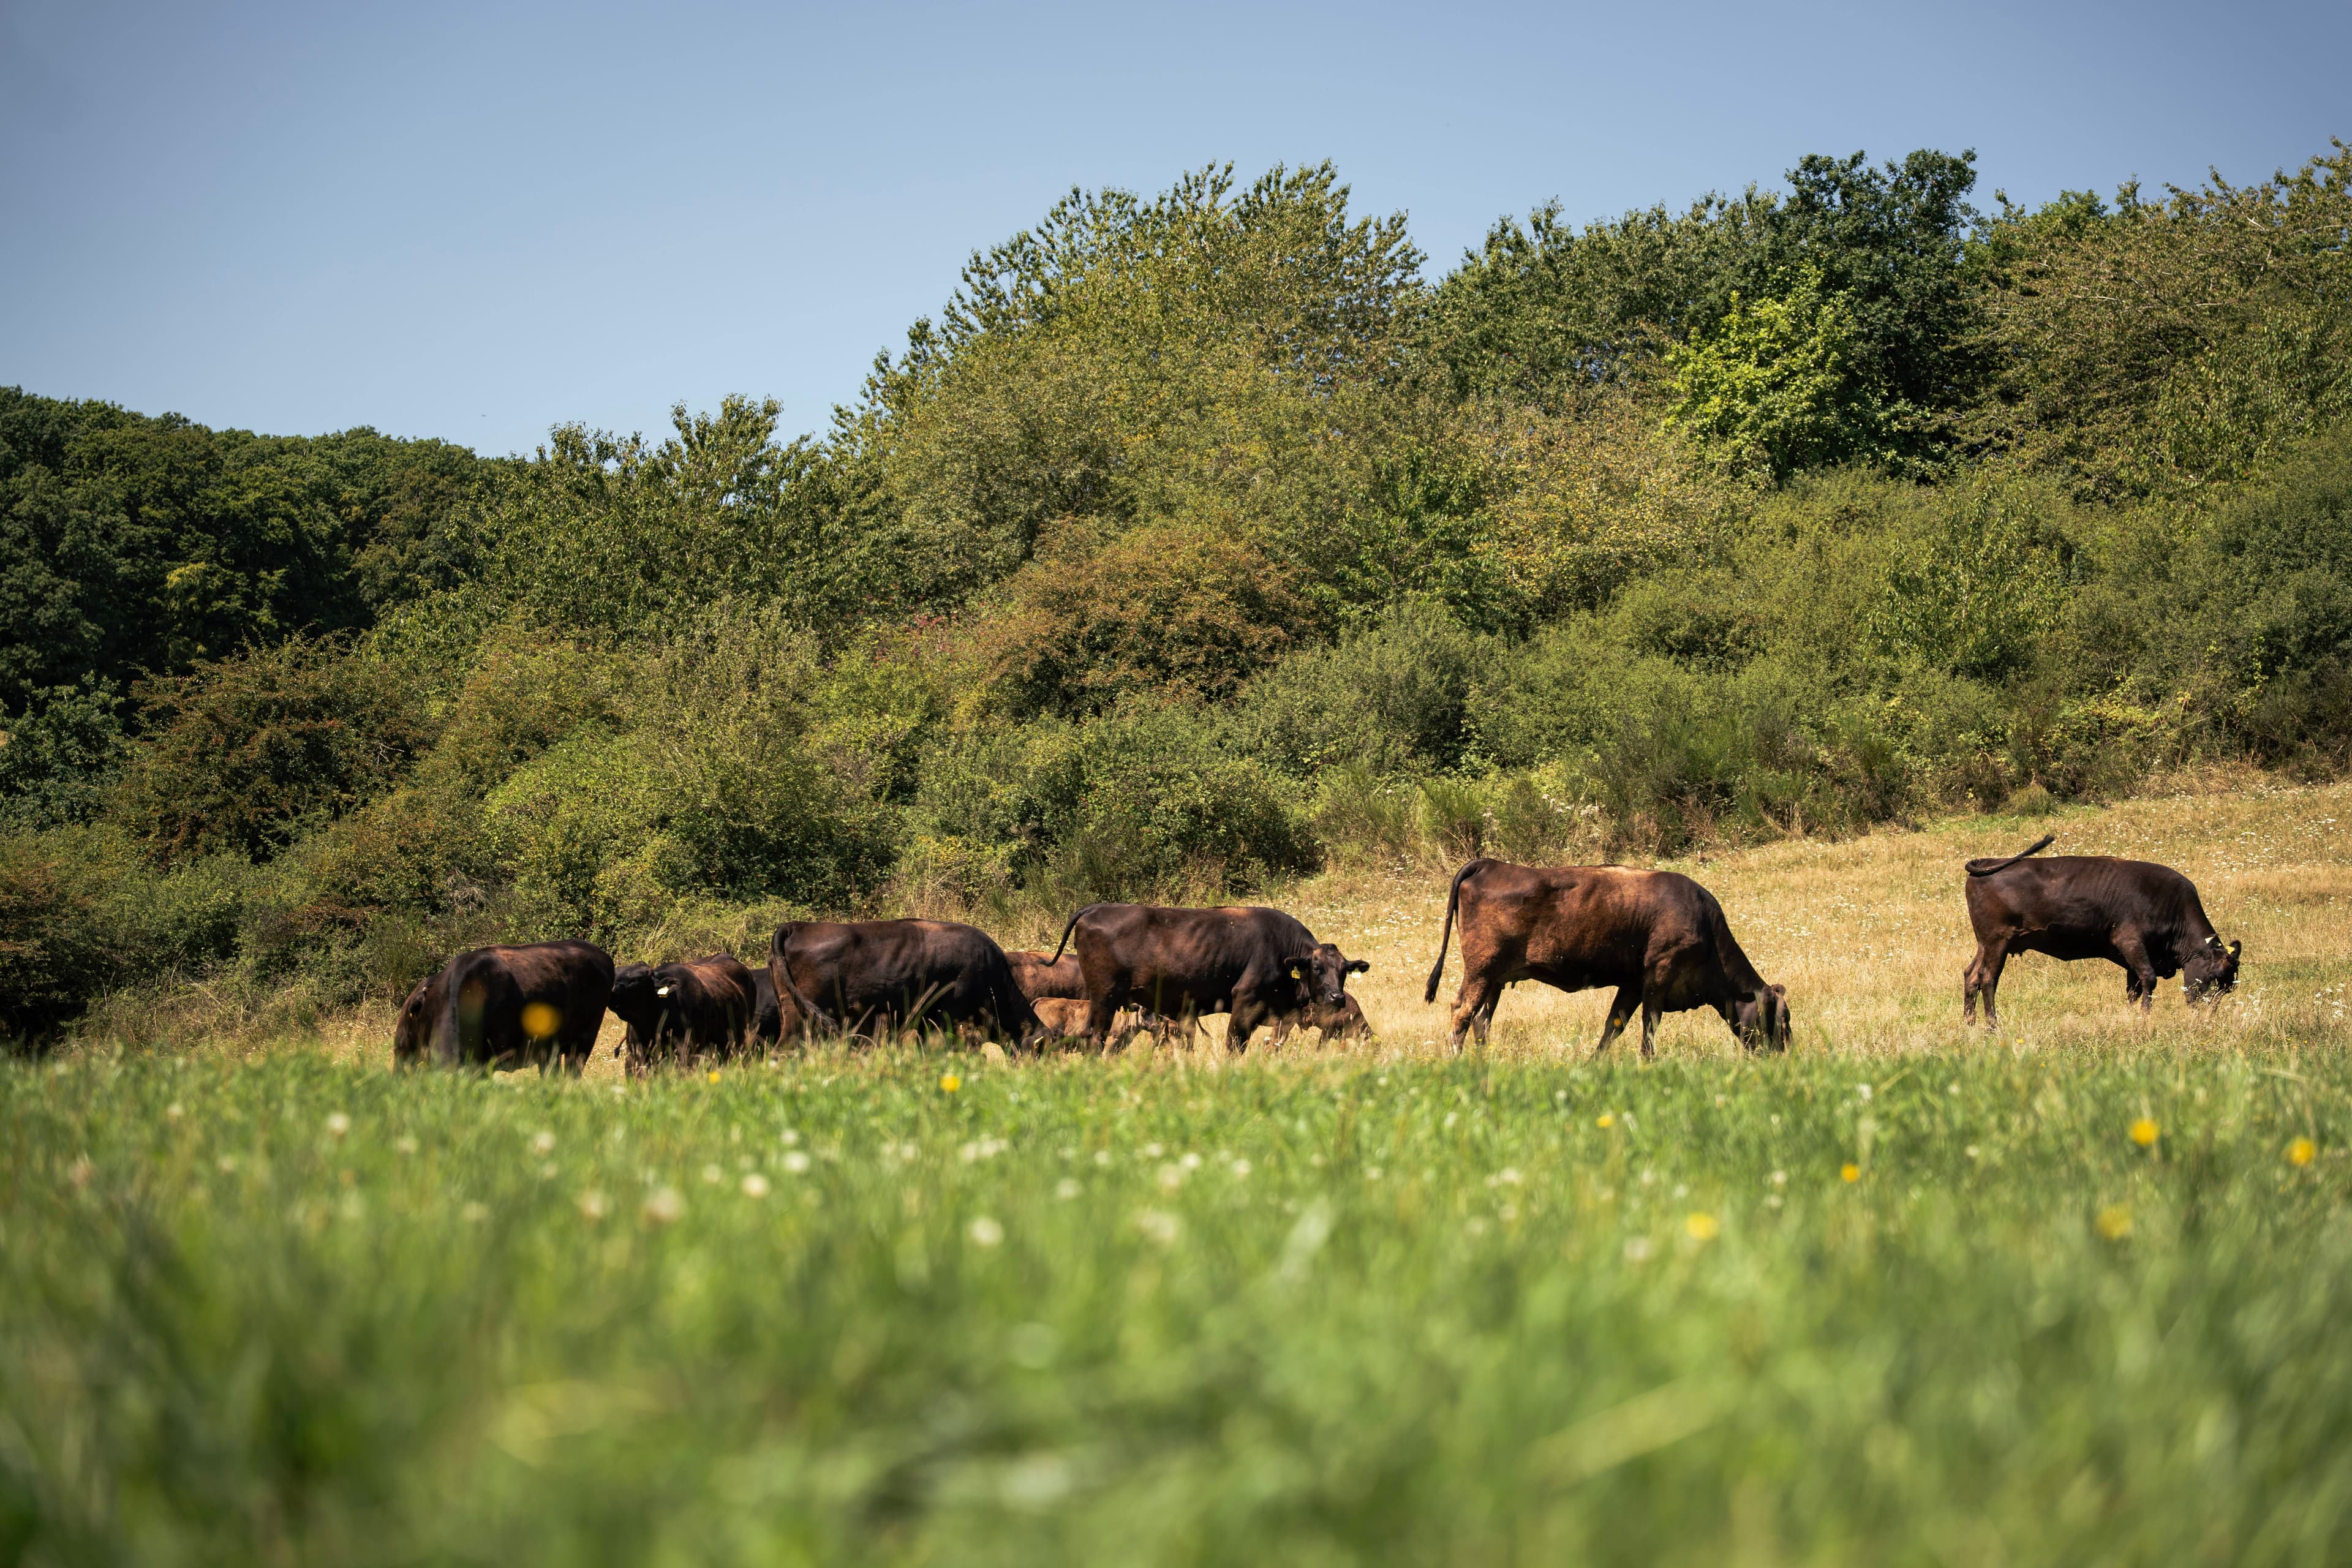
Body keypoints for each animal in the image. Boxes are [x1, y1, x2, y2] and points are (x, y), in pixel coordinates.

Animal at [1044, 903, 1369, 1053]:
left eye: (1344, 970)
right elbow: (1234, 1045)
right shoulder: (1245, 1001)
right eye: (1316, 967)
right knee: (1095, 1038)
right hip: (1104, 998)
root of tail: (1096, 907)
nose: (1337, 997)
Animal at [1423, 860, 1789, 1056]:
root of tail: (1489, 864)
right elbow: (1648, 1028)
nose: (1785, 1055)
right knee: (1462, 1013)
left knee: (1482, 1020)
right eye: (1783, 1020)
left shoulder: (1632, 985)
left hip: (1495, 980)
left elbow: (1614, 1026)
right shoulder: (1658, 977)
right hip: (1481, 970)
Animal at [1961, 834, 2241, 1026]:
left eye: (2229, 988)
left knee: (1971, 975)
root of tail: (1989, 861)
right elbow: (2149, 979)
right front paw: (2145, 1017)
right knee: (1988, 978)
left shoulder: (2132, 960)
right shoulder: (2130, 942)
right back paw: (1993, 1026)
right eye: (2215, 976)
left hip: (1985, 944)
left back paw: (1969, 1024)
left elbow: (2133, 989)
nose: (2208, 1017)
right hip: (1998, 941)